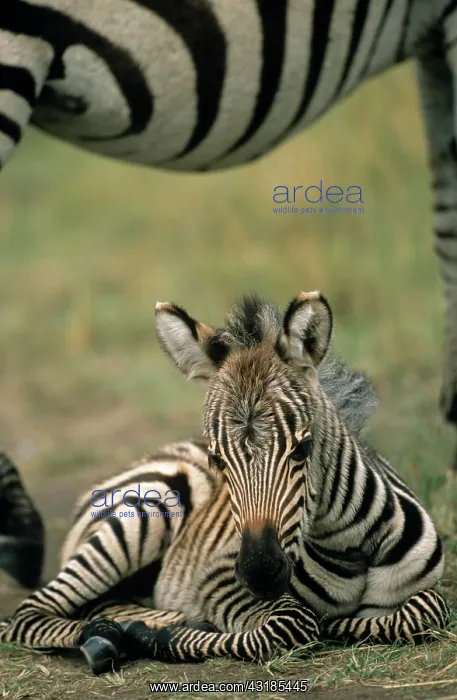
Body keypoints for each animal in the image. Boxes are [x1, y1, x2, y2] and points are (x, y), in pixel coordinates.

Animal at [0, 292, 450, 675]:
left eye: (302, 449)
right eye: (218, 459)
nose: (259, 574)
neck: (349, 545)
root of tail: (153, 456)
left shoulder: (425, 592)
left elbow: (428, 609)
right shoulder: (216, 579)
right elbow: (293, 623)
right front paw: (168, 634)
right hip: (147, 512)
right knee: (28, 614)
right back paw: (122, 632)